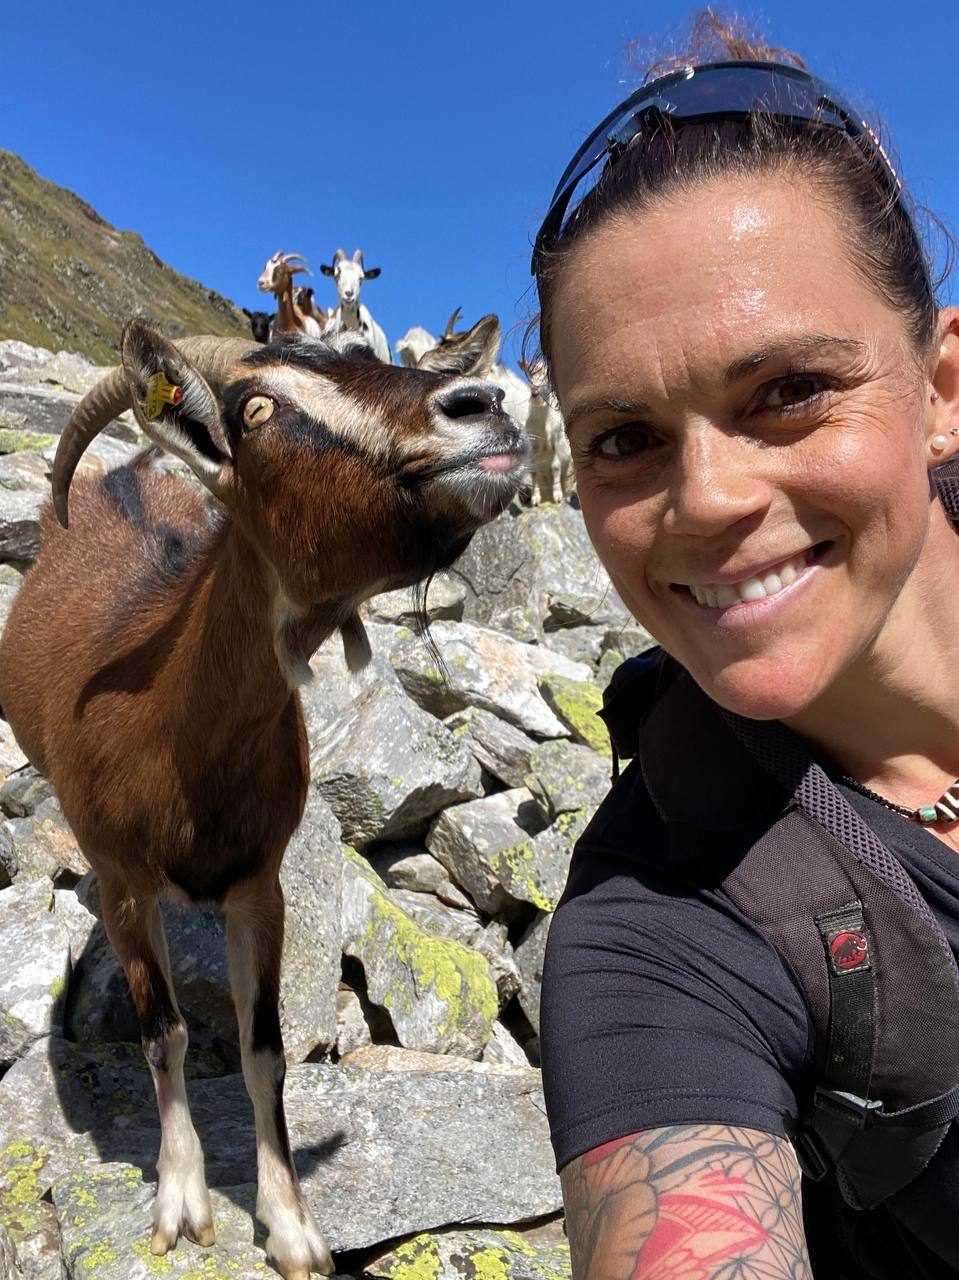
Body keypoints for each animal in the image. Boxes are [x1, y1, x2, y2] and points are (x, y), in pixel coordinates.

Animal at [0, 322, 527, 1279]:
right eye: (255, 409)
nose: (481, 405)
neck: (172, 731)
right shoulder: (127, 883)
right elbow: (164, 1032)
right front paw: (181, 1207)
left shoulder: (260, 884)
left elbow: (264, 1047)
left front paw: (290, 1227)